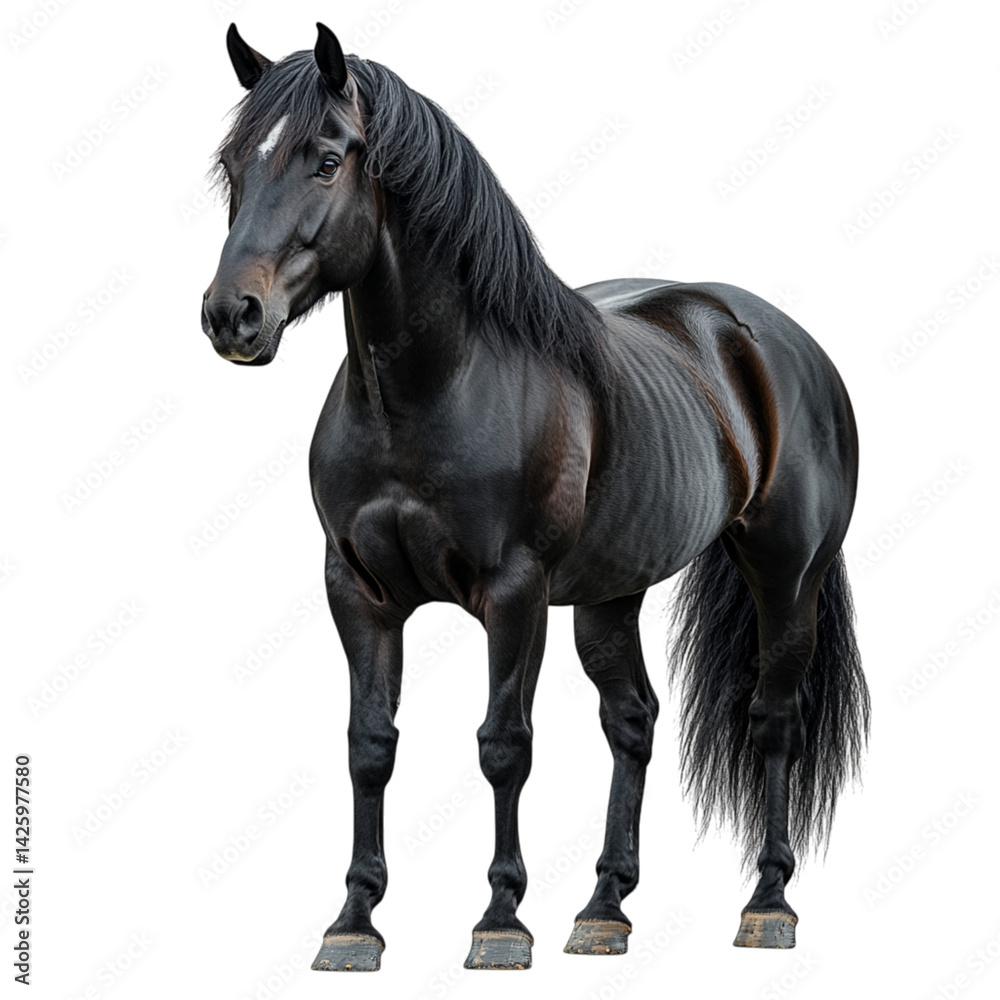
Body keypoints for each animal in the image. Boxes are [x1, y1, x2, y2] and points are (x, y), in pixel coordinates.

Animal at [201, 23, 870, 972]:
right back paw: (603, 910)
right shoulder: (358, 593)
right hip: (611, 594)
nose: (233, 316)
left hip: (786, 575)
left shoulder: (514, 595)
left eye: (327, 159)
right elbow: (370, 746)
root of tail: (778, 340)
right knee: (633, 721)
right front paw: (354, 922)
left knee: (773, 718)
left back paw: (767, 905)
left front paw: (499, 921)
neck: (432, 389)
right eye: (233, 164)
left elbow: (503, 745)